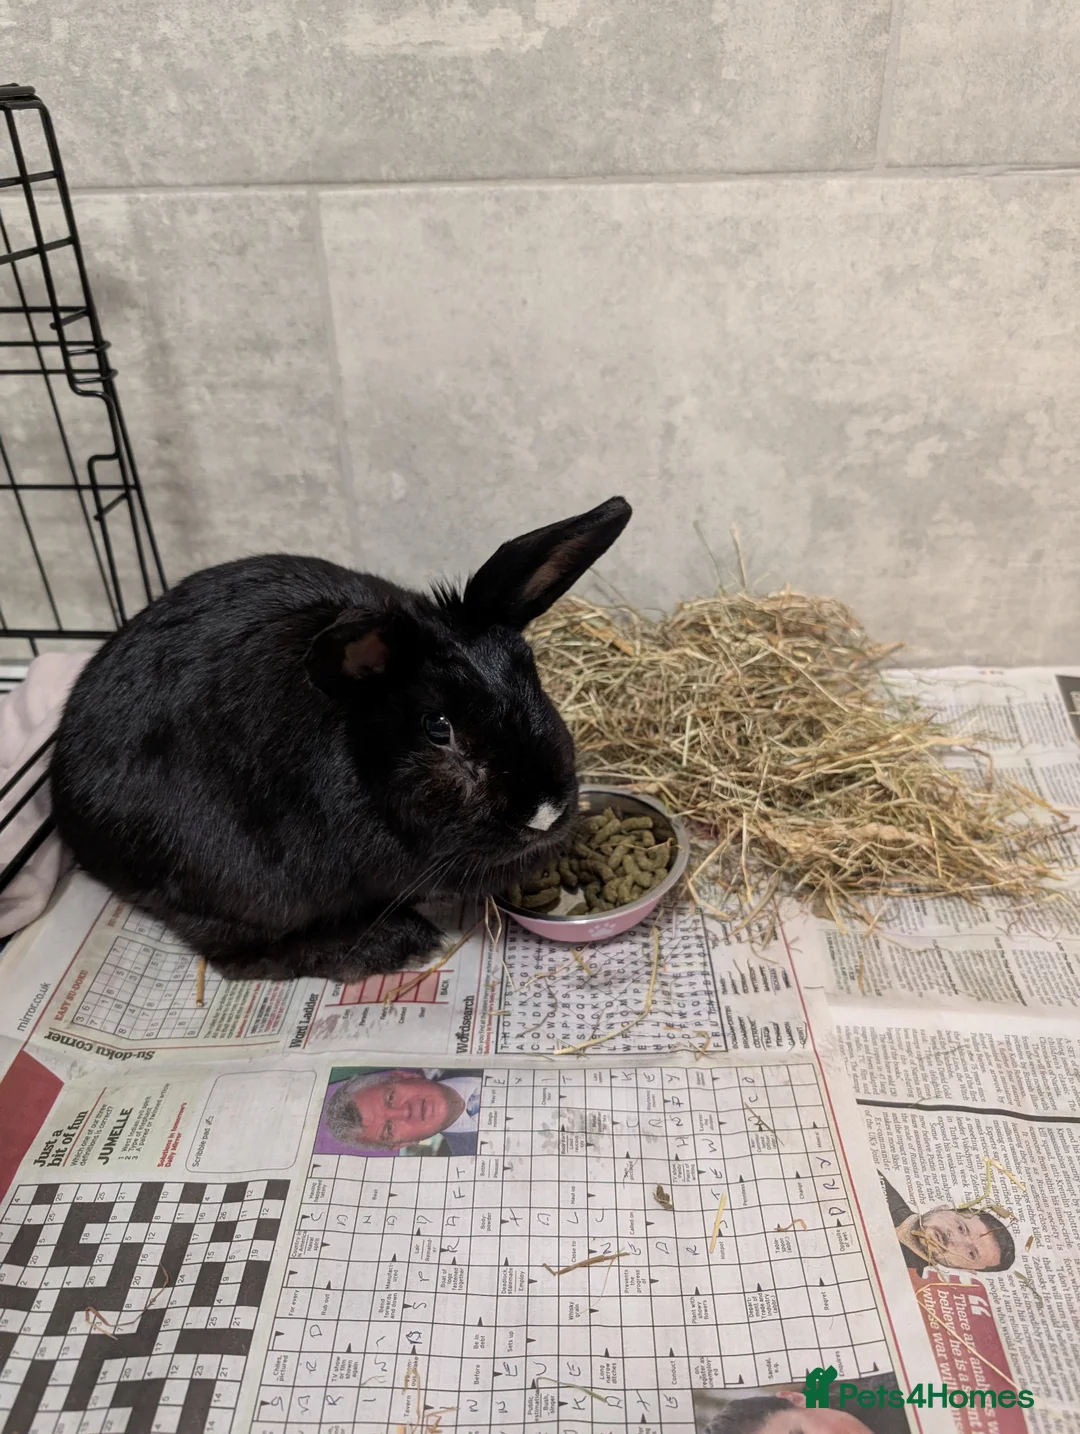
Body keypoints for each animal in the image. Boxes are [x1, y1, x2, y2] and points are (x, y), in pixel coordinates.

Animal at [50, 496, 632, 982]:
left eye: (531, 674)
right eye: (437, 727)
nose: (545, 812)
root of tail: (68, 809)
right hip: (230, 882)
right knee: (238, 956)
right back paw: (391, 944)